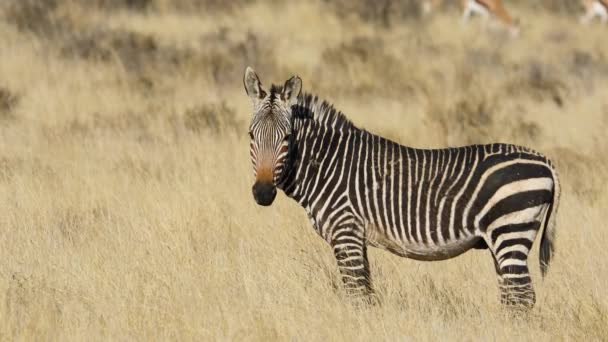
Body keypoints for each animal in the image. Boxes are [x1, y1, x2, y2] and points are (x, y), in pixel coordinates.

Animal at [243, 66, 560, 308]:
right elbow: (366, 292)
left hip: (510, 230)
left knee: (521, 297)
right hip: (503, 238)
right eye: (251, 135)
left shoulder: (346, 232)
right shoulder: (356, 237)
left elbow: (357, 295)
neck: (328, 165)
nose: (263, 193)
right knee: (513, 295)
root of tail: (545, 160)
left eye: (287, 137)